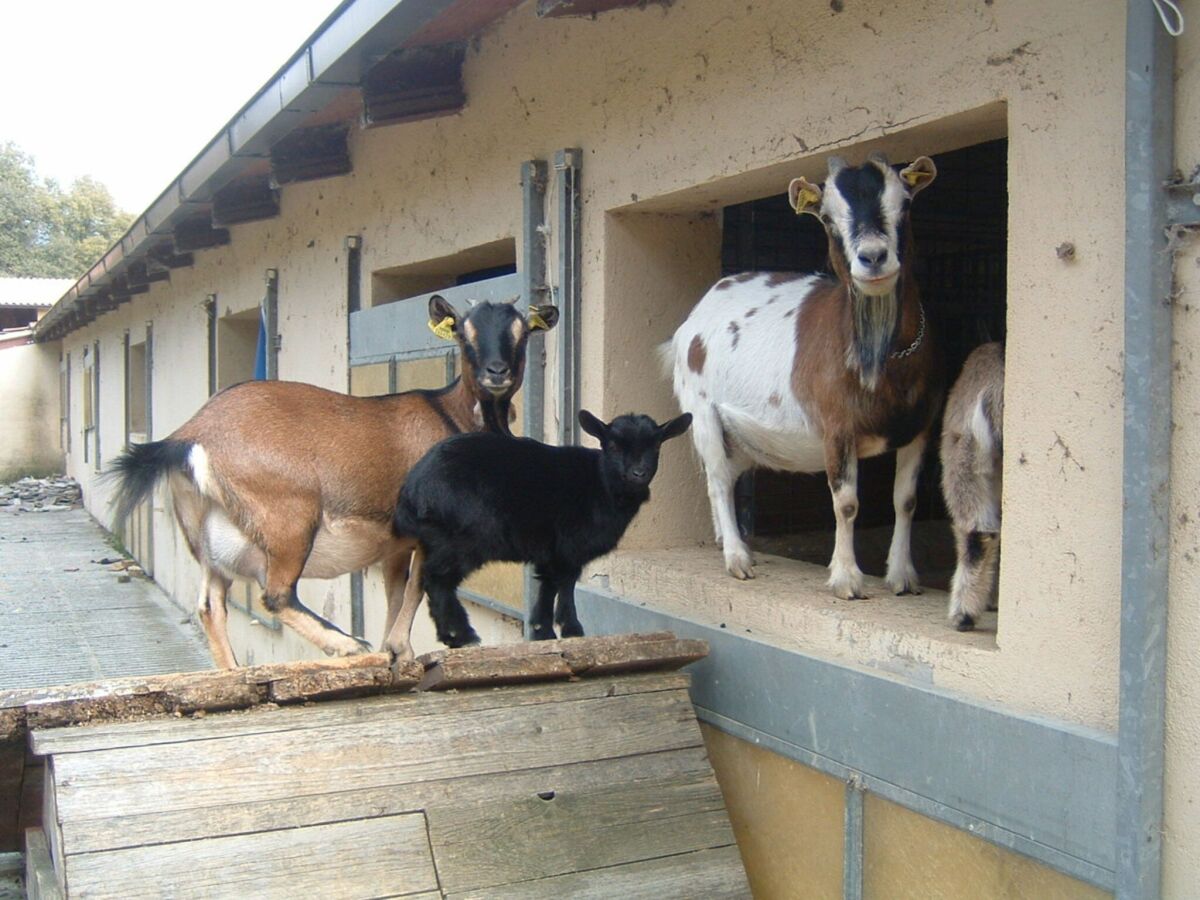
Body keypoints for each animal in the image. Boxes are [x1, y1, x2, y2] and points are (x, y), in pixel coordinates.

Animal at [108, 297, 556, 672]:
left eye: (522, 332)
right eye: (464, 333)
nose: (496, 373)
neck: (454, 416)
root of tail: (190, 435)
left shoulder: (396, 543)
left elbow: (396, 592)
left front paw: (396, 651)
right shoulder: (428, 533)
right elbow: (416, 586)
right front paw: (396, 648)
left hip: (207, 541)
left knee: (210, 606)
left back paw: (233, 673)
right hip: (289, 520)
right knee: (277, 594)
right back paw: (347, 644)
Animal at [672, 153, 940, 600]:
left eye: (904, 203)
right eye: (828, 219)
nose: (872, 257)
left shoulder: (919, 428)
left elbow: (906, 500)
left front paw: (902, 577)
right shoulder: (837, 427)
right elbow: (846, 503)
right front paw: (847, 581)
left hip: (740, 436)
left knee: (724, 473)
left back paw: (729, 542)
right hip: (701, 409)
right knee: (718, 479)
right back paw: (737, 559)